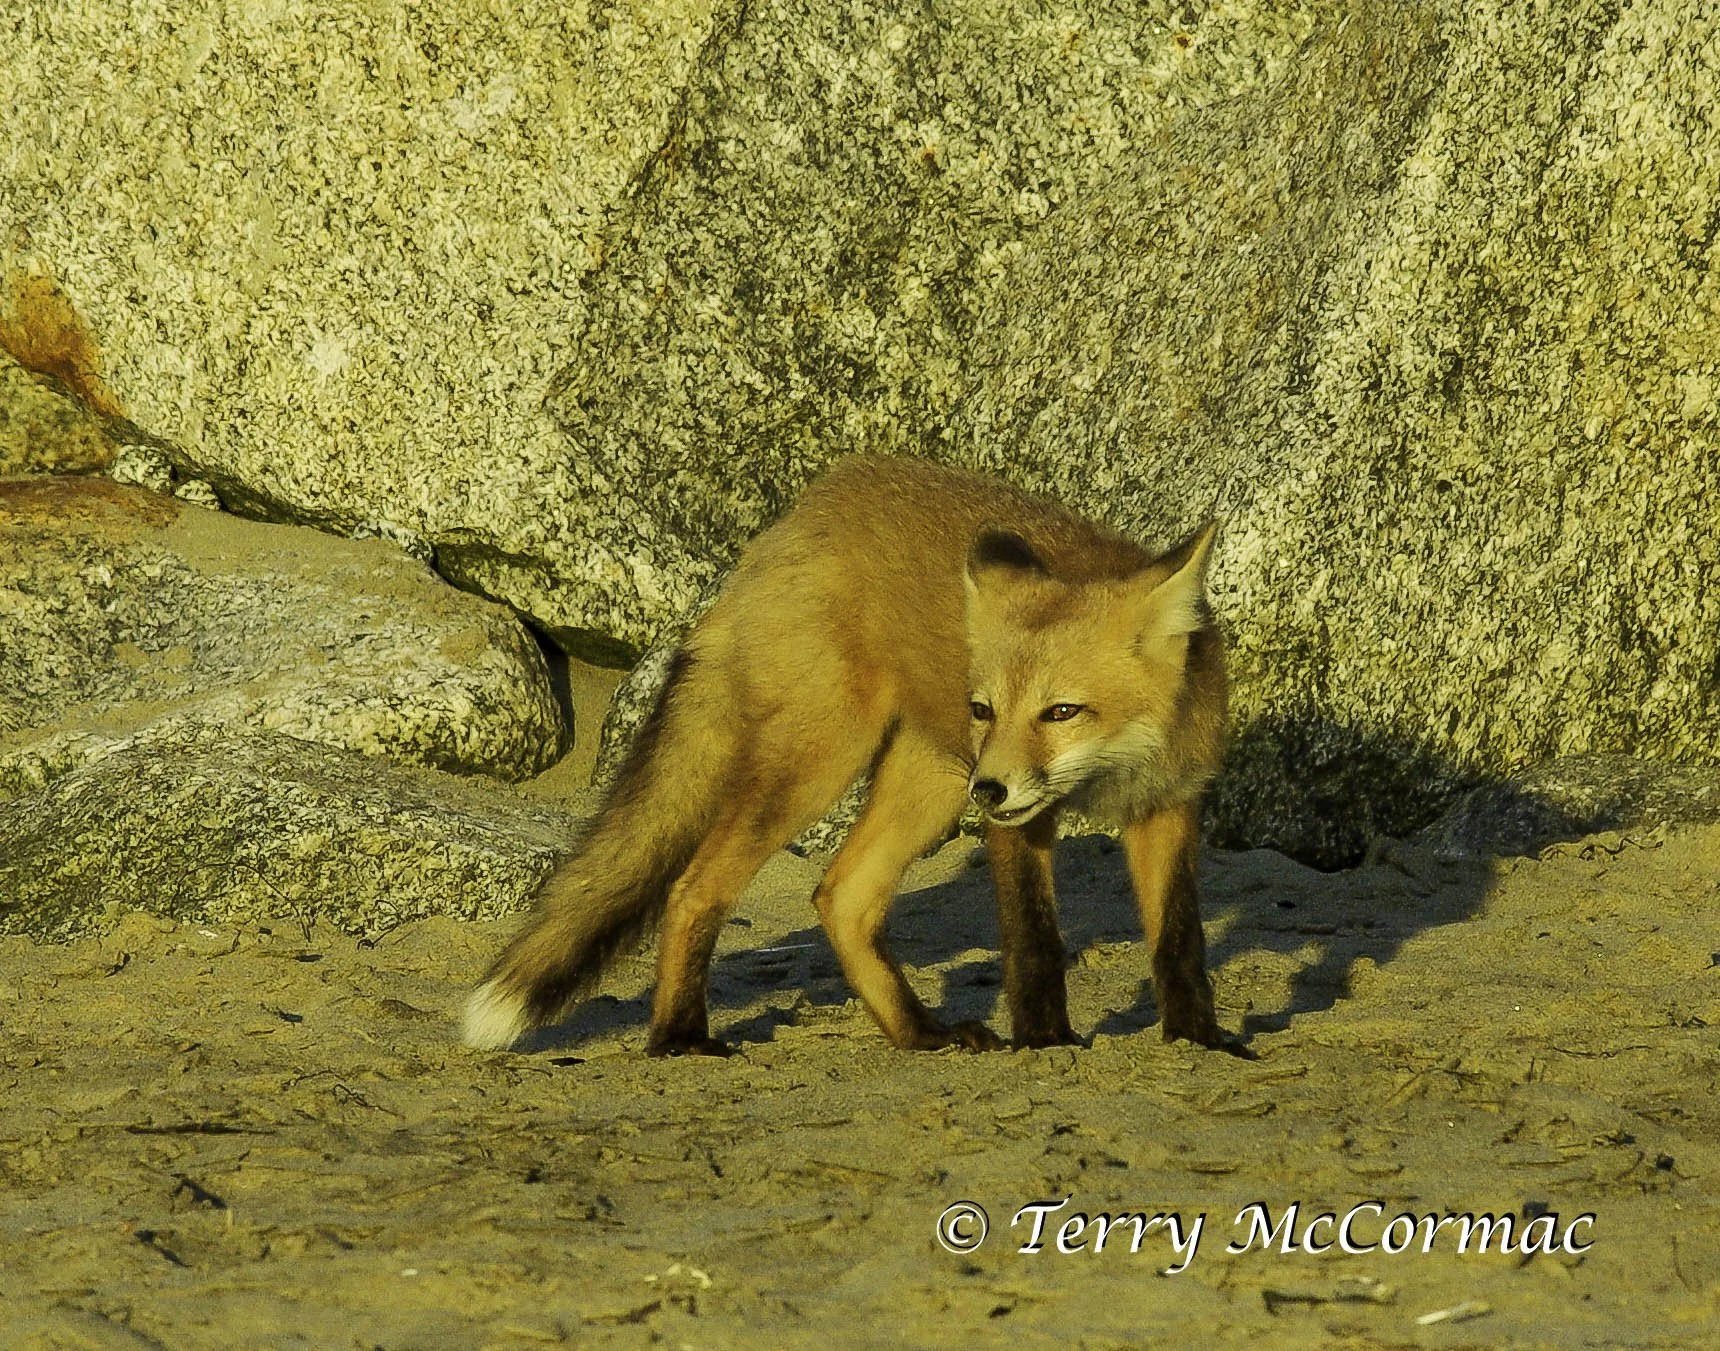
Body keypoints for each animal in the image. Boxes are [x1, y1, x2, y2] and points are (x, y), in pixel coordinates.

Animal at [462, 455, 1230, 1057]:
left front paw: (1198, 1041)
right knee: (695, 888)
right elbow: (1034, 940)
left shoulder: (1169, 803)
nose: (990, 792)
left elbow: (1179, 941)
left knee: (842, 896)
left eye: (1061, 712)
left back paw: (920, 1033)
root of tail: (795, 518)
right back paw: (679, 1036)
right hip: (828, 761)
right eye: (984, 709)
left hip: (932, 779)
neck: (1111, 770)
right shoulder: (1020, 818)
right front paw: (1046, 1044)